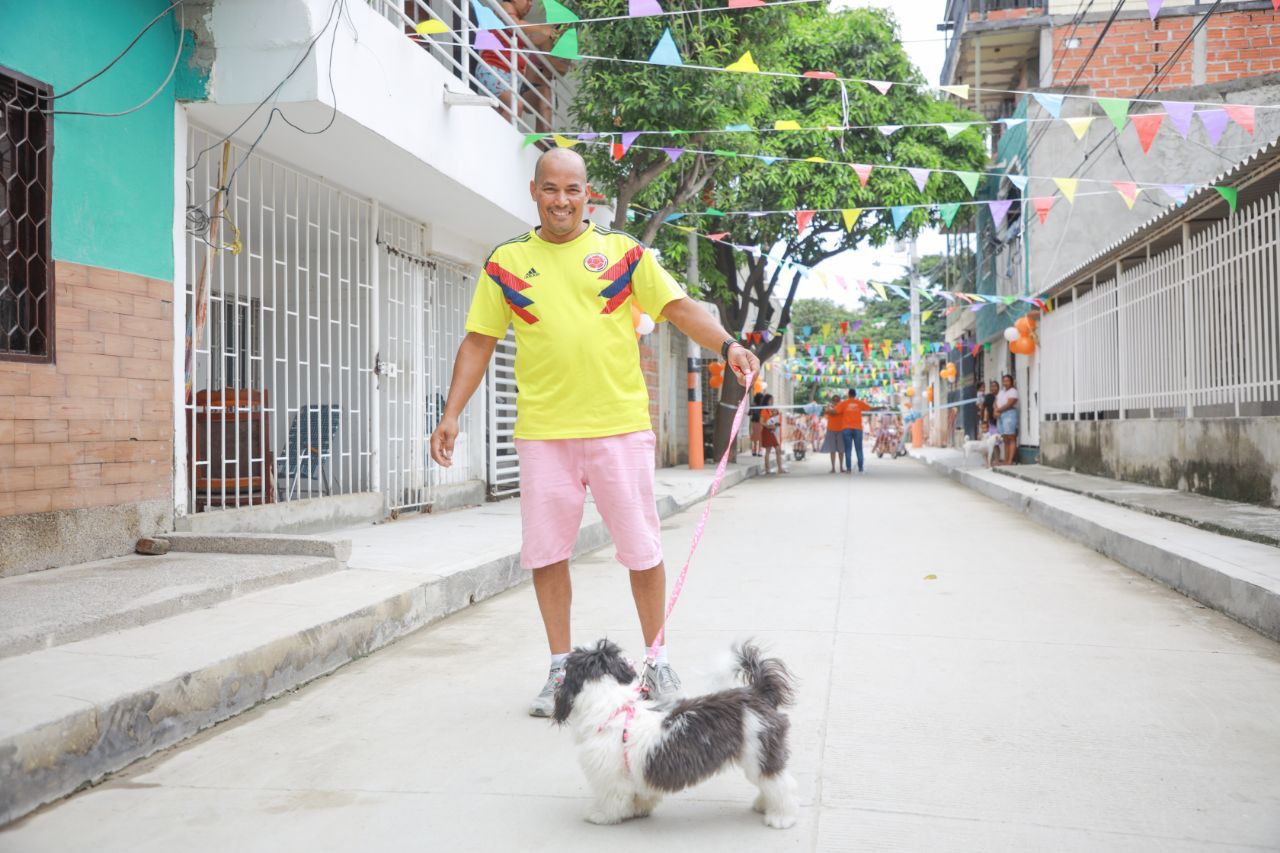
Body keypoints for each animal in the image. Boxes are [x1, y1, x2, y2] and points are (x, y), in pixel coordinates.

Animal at [552, 637, 793, 824]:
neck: (613, 706)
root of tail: (758, 693)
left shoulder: (608, 776)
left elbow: (610, 800)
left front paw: (600, 815)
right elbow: (641, 795)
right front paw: (639, 808)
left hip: (759, 754)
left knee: (782, 785)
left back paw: (781, 817)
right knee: (771, 783)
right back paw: (763, 805)